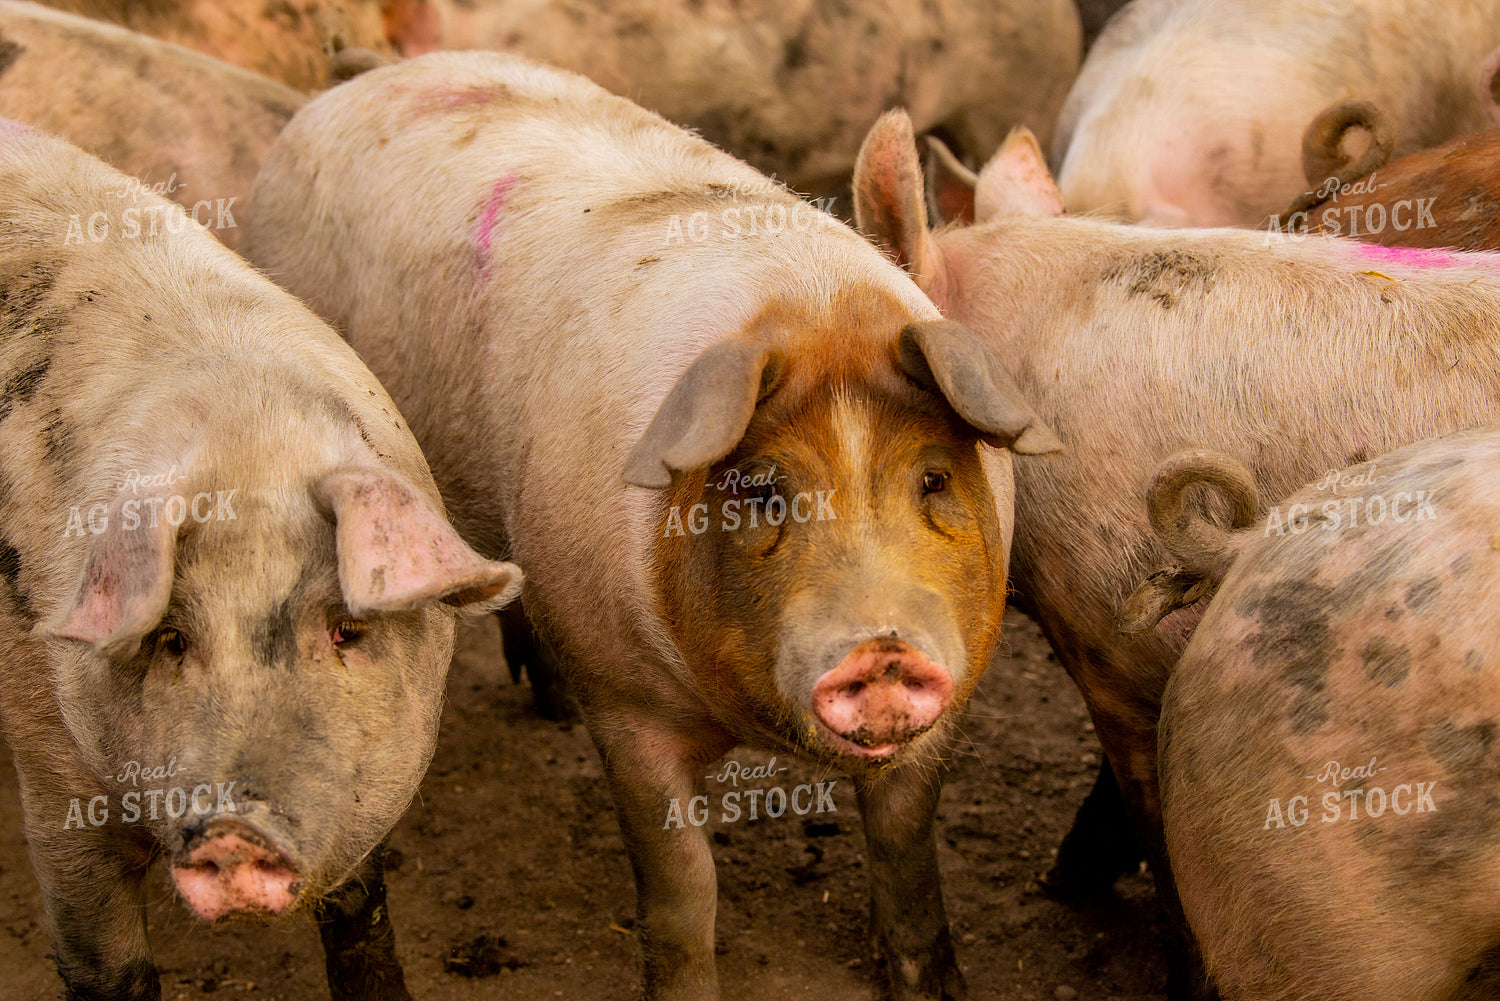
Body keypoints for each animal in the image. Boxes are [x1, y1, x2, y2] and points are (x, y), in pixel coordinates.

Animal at [0, 121, 521, 1001]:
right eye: (172, 639)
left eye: (346, 630)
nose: (236, 833)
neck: (248, 448)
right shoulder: (49, 764)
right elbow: (106, 967)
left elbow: (360, 908)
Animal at [244, 50, 1061, 1001]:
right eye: (762, 491)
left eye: (933, 477)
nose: (884, 649)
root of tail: (360, 79)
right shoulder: (623, 701)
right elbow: (682, 887)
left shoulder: (950, 695)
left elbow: (905, 847)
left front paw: (932, 983)